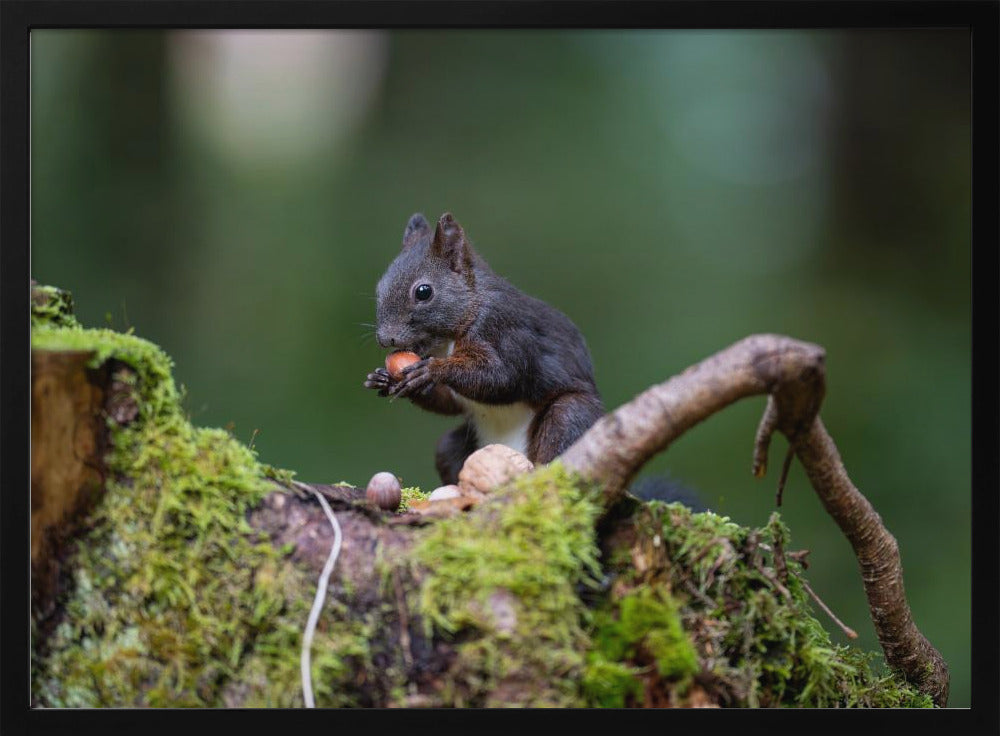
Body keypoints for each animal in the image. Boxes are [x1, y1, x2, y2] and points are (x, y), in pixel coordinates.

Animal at [363, 212, 605, 486]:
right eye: (379, 288)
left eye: (424, 292)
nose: (385, 339)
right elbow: (450, 403)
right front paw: (382, 378)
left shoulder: (504, 328)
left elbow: (503, 378)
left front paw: (432, 371)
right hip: (454, 447)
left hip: (570, 417)